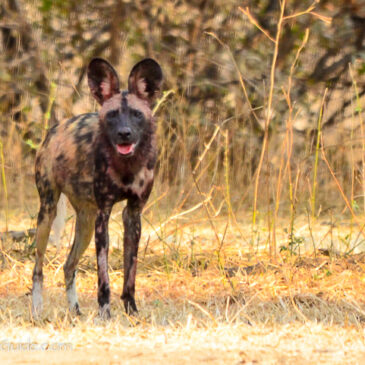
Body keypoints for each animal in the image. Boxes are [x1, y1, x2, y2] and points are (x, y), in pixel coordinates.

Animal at [31, 57, 162, 318]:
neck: (126, 165)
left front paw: (131, 311)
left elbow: (130, 273)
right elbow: (103, 276)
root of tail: (55, 129)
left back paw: (75, 312)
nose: (124, 133)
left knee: (68, 265)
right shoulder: (104, 214)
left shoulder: (133, 214)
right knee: (38, 267)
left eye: (136, 114)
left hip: (86, 223)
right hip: (48, 214)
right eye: (111, 115)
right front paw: (105, 313)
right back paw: (38, 310)